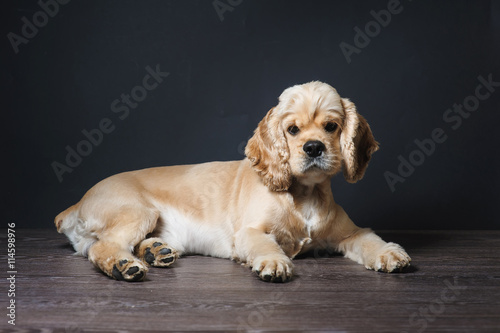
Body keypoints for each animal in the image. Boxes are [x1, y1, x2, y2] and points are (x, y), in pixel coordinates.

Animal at [56, 80, 412, 280]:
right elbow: (265, 243)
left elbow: (370, 239)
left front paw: (390, 254)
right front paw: (274, 262)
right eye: (292, 129)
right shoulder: (249, 232)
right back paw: (122, 265)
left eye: (331, 126)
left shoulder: (349, 233)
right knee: (102, 247)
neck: (305, 195)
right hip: (140, 211)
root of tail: (76, 205)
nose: (313, 147)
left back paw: (154, 251)